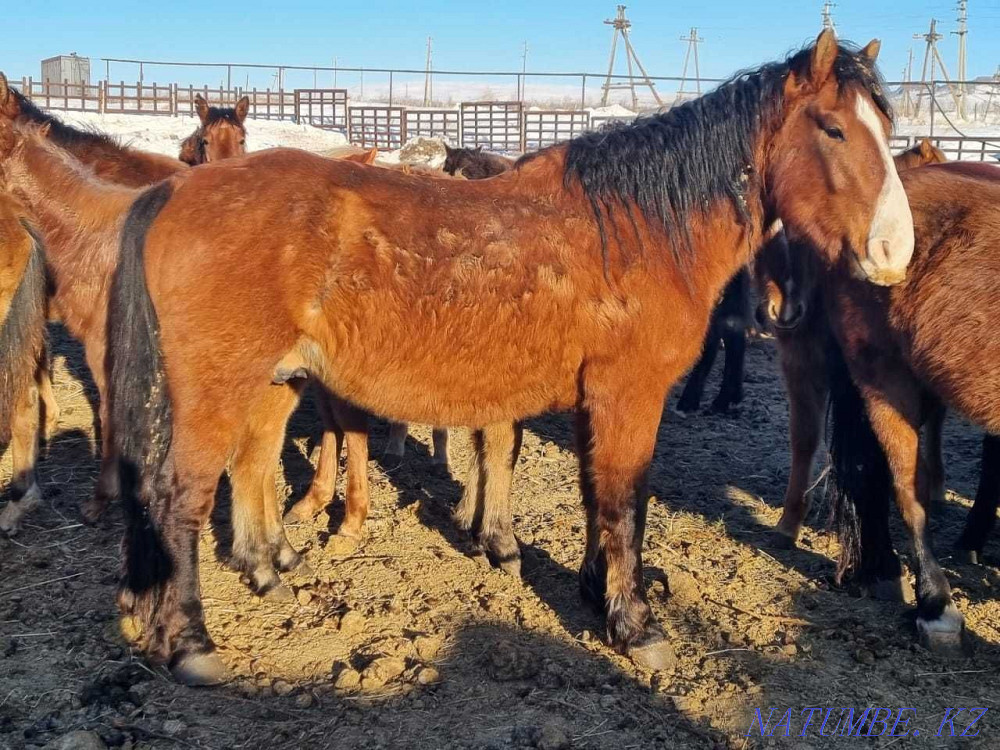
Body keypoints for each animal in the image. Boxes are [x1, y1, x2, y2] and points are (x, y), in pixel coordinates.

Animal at [92, 32, 910, 684]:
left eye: (888, 129)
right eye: (833, 128)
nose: (894, 252)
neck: (632, 230)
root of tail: (176, 192)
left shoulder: (592, 399)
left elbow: (594, 496)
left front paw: (593, 593)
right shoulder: (628, 394)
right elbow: (625, 500)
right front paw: (634, 625)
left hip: (270, 383)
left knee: (251, 465)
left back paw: (268, 571)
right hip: (215, 392)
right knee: (179, 500)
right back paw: (189, 643)